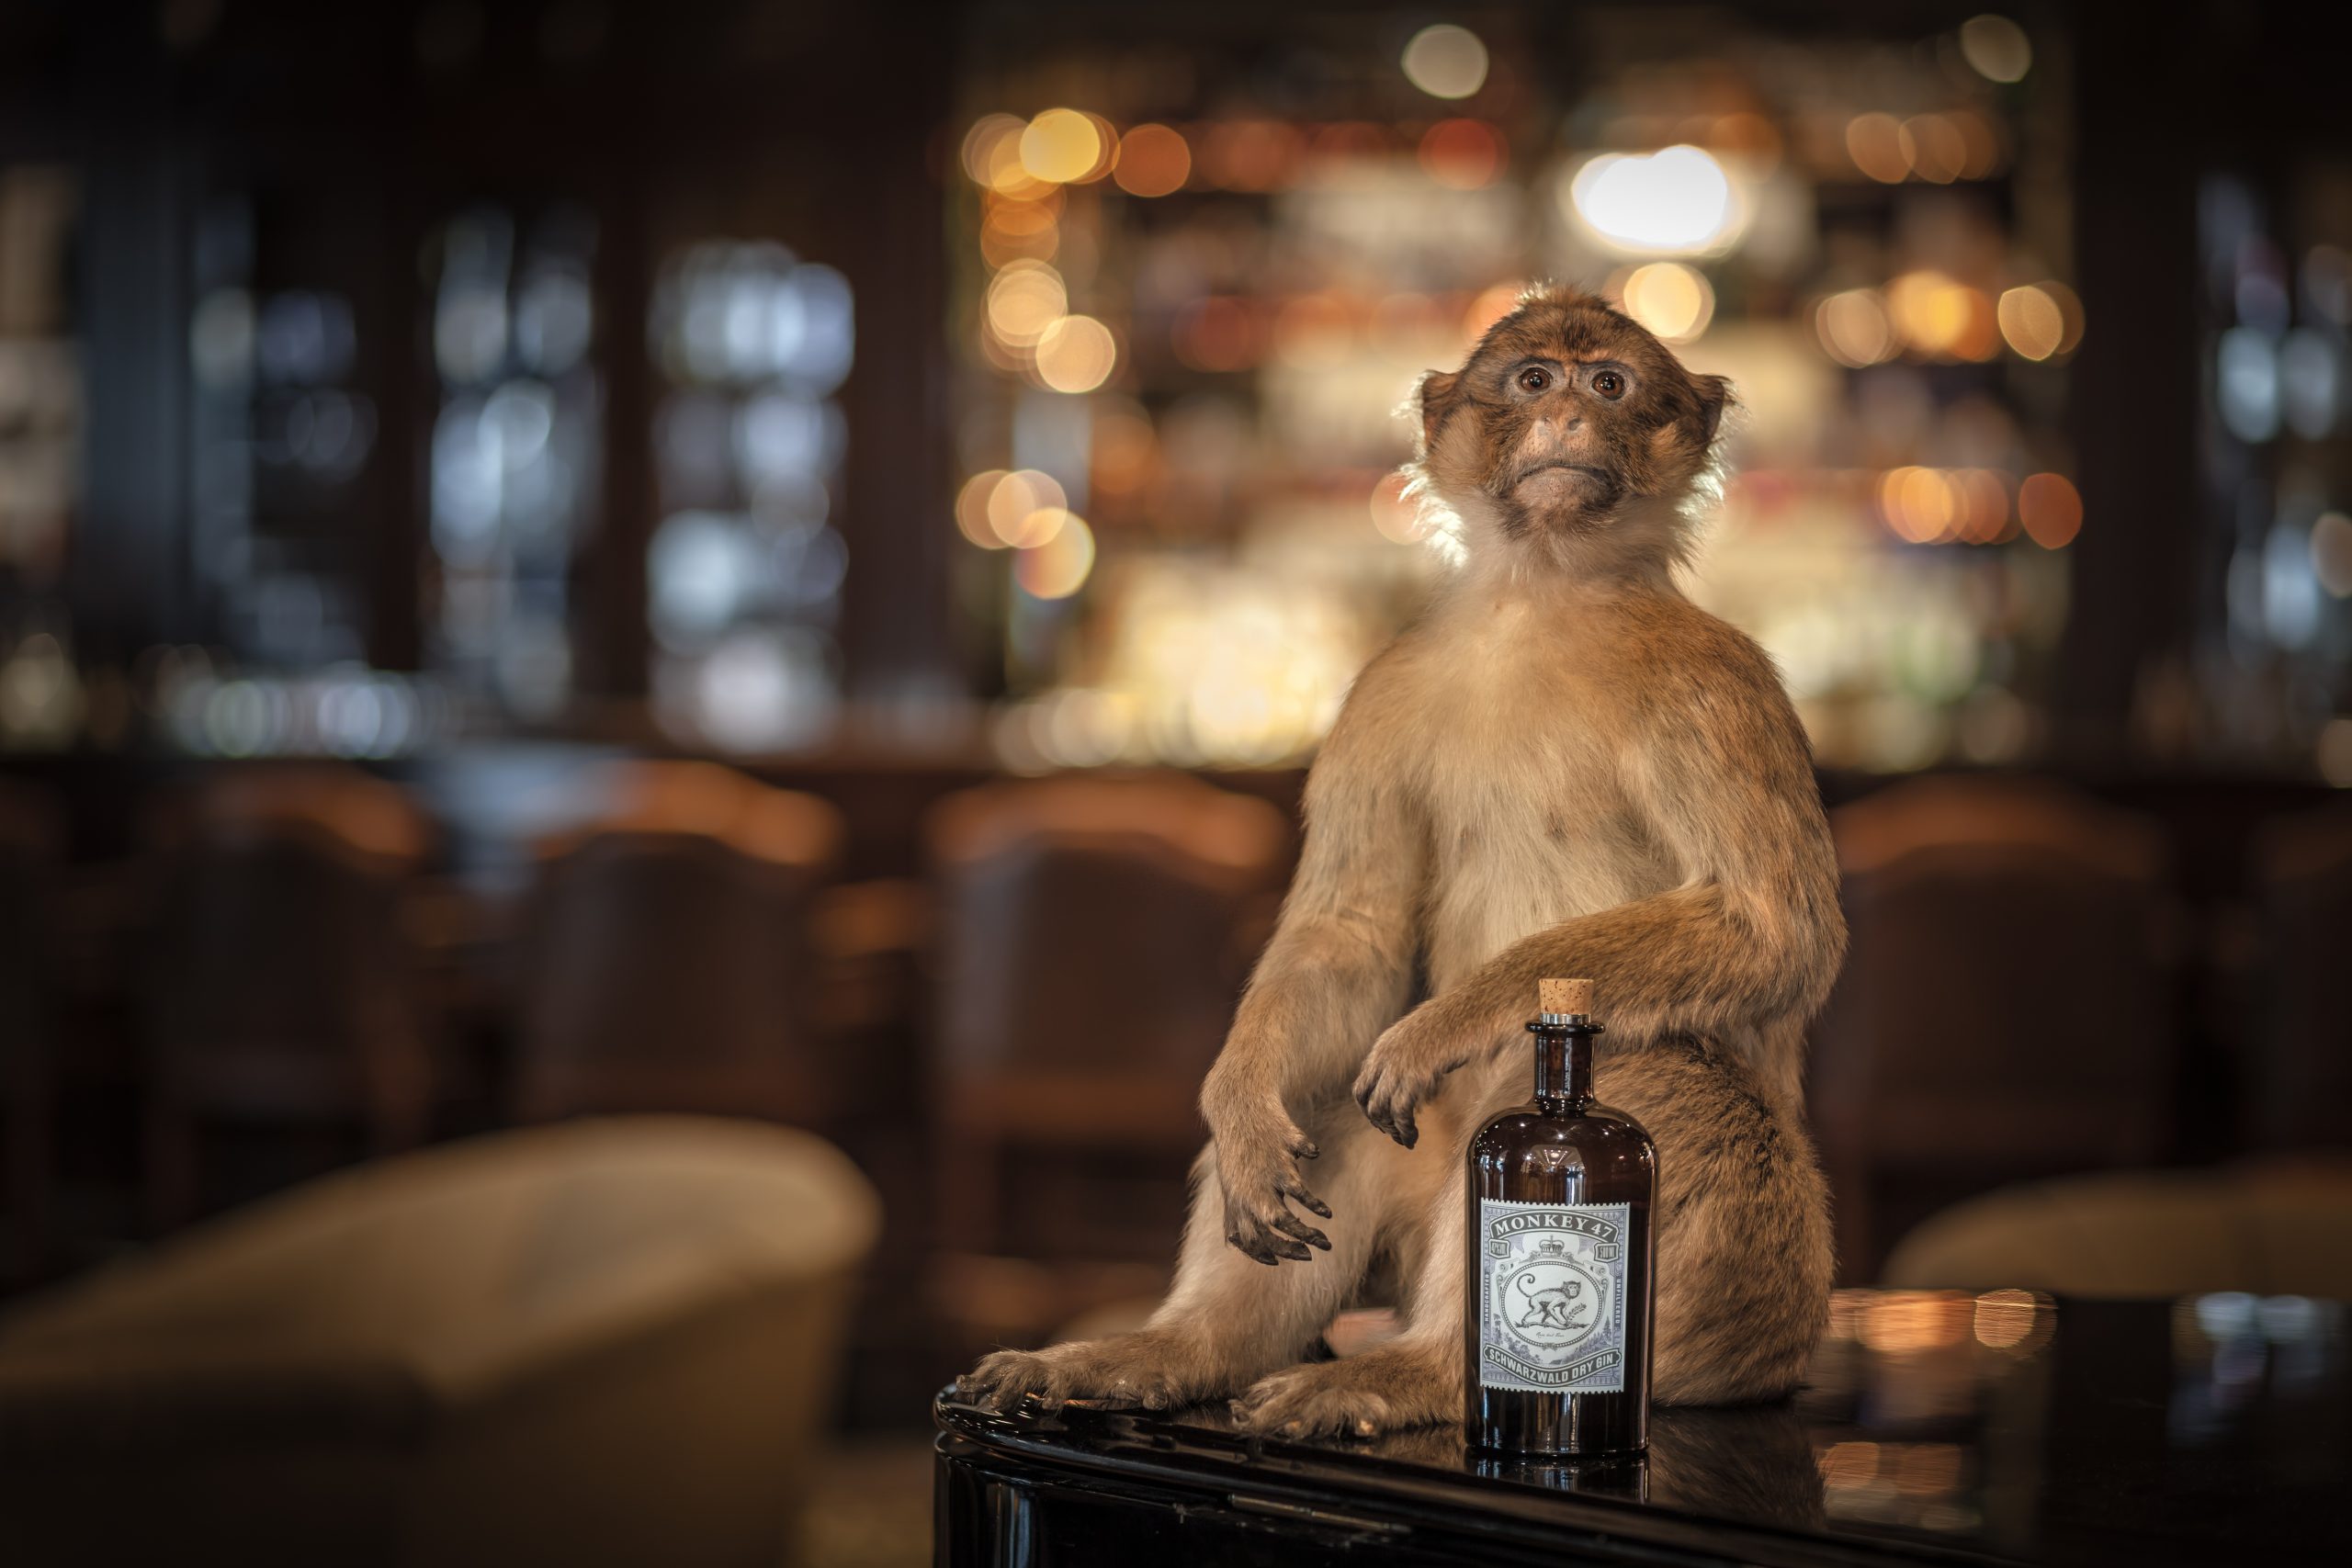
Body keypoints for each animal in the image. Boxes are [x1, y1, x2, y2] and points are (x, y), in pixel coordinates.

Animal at [960, 284, 1840, 1438]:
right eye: (1533, 380)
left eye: (1608, 385)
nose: (1567, 421)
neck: (1540, 599)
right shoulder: (1383, 689)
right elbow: (1353, 934)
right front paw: (1239, 1108)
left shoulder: (1714, 683)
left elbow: (1774, 930)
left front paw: (1454, 1015)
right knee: (1326, 1088)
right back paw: (1182, 1352)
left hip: (1749, 1317)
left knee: (1662, 1070)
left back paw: (1425, 1373)